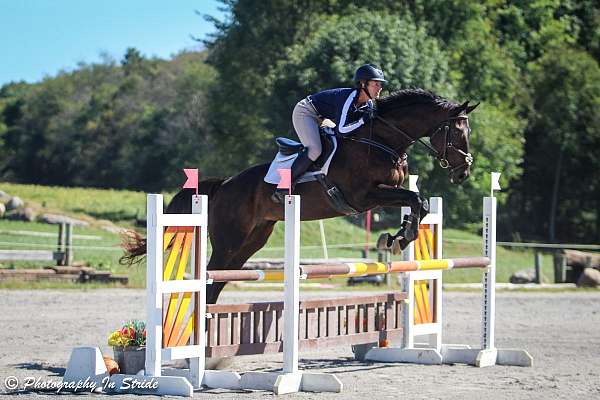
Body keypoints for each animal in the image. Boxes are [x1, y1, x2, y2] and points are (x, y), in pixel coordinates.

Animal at [122, 89, 478, 304]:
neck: (382, 139)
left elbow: (420, 202)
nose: (463, 172)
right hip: (229, 240)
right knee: (211, 276)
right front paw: (399, 237)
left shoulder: (382, 195)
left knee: (220, 279)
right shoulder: (364, 196)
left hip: (253, 240)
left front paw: (396, 236)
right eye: (457, 132)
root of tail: (223, 185)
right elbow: (415, 200)